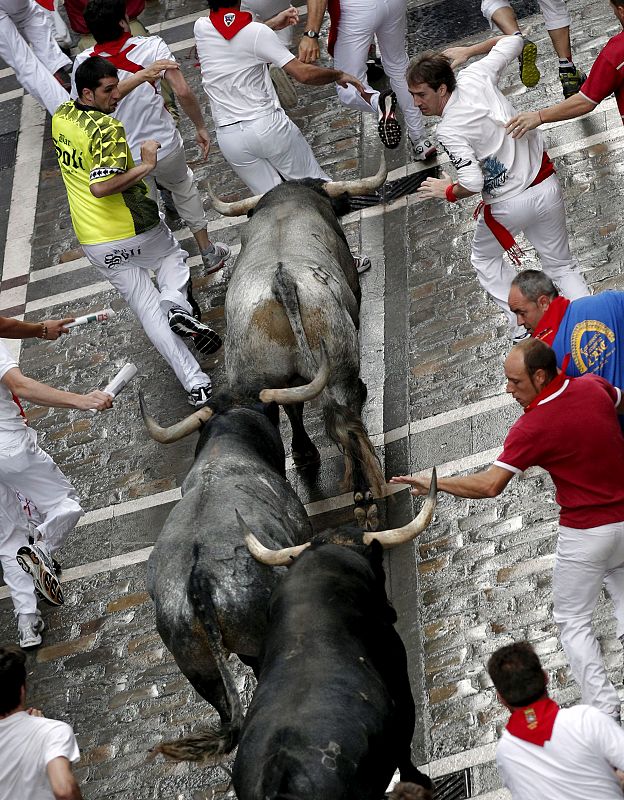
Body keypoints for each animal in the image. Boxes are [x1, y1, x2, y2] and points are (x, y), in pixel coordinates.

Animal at [210, 160, 388, 532]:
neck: (285, 205)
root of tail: (283, 280)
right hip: (338, 367)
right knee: (345, 420)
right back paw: (364, 497)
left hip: (258, 378)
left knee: (287, 407)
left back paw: (305, 453)